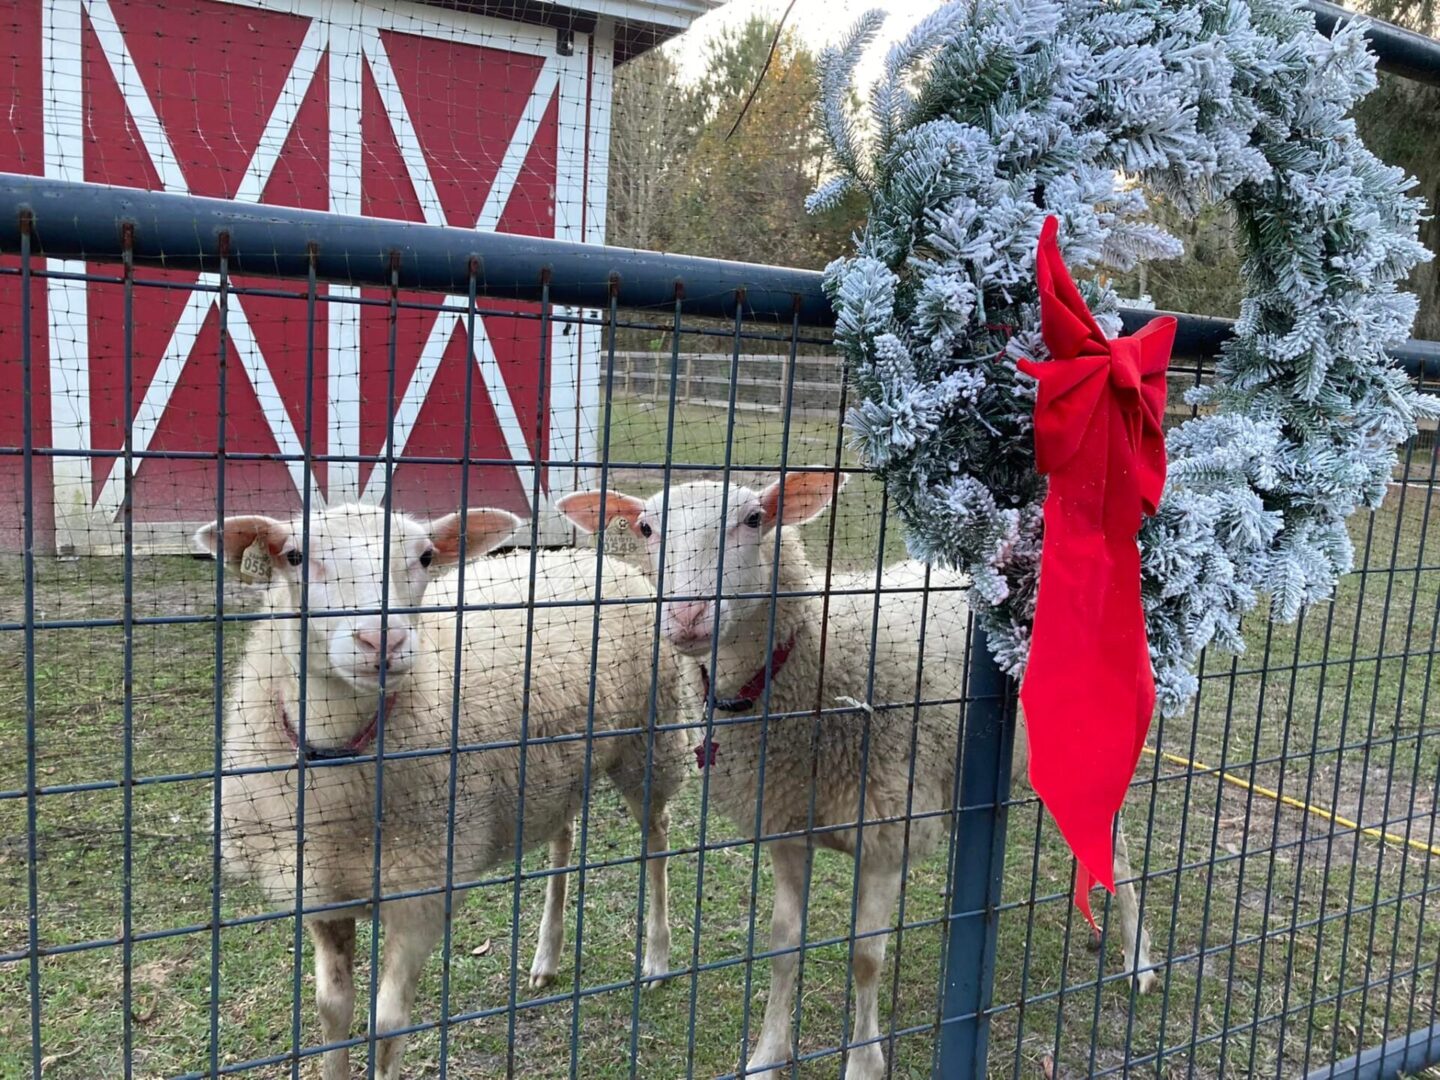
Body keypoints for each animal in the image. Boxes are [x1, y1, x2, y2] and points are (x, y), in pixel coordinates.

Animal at [201, 506, 685, 1080]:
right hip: (553, 766)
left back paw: (657, 958)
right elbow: (332, 1010)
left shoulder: (423, 892)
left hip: (650, 738)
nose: (382, 641)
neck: (340, 746)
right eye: (295, 556)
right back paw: (546, 957)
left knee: (657, 842)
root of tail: (586, 554)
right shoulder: (318, 894)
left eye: (427, 557)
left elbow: (387, 1026)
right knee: (564, 837)